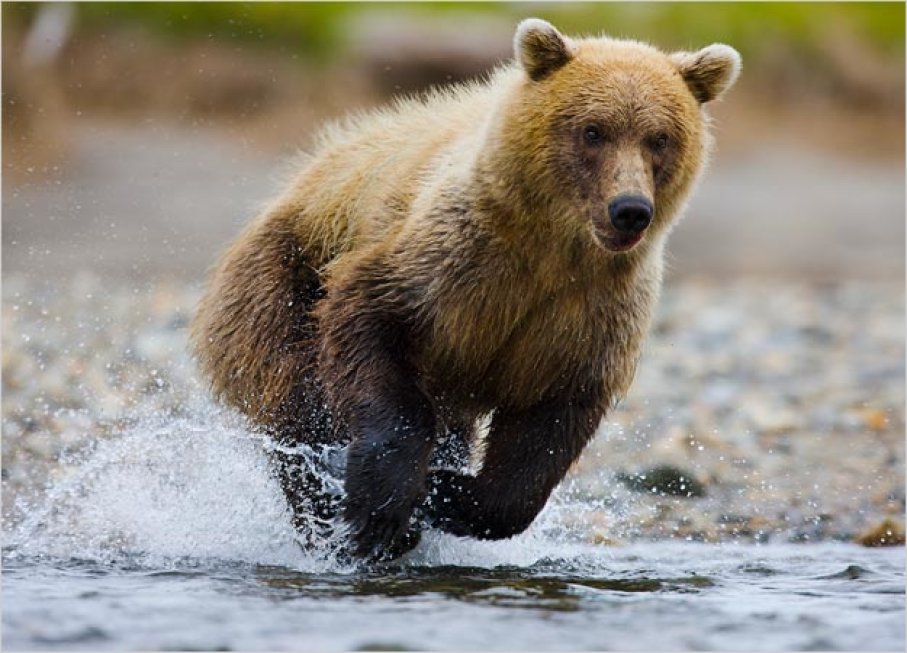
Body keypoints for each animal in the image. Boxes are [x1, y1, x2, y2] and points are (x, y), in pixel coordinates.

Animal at [191, 18, 741, 561]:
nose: (629, 209)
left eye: (659, 138)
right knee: (298, 404)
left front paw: (445, 495)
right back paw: (325, 510)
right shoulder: (446, 260)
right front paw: (382, 505)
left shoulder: (588, 312)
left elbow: (547, 431)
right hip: (280, 281)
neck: (553, 249)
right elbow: (367, 322)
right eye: (593, 131)